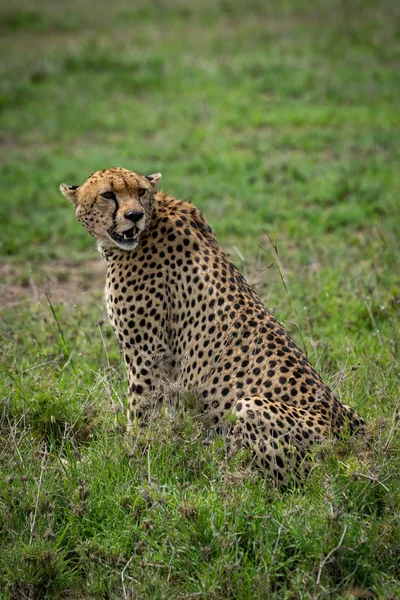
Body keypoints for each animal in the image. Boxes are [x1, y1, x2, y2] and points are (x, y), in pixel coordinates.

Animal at [60, 168, 366, 482]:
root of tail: (351, 440)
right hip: (349, 411)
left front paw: (129, 457)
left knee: (287, 483)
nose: (134, 215)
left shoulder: (146, 353)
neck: (155, 216)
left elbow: (140, 411)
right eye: (108, 194)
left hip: (250, 406)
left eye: (141, 191)